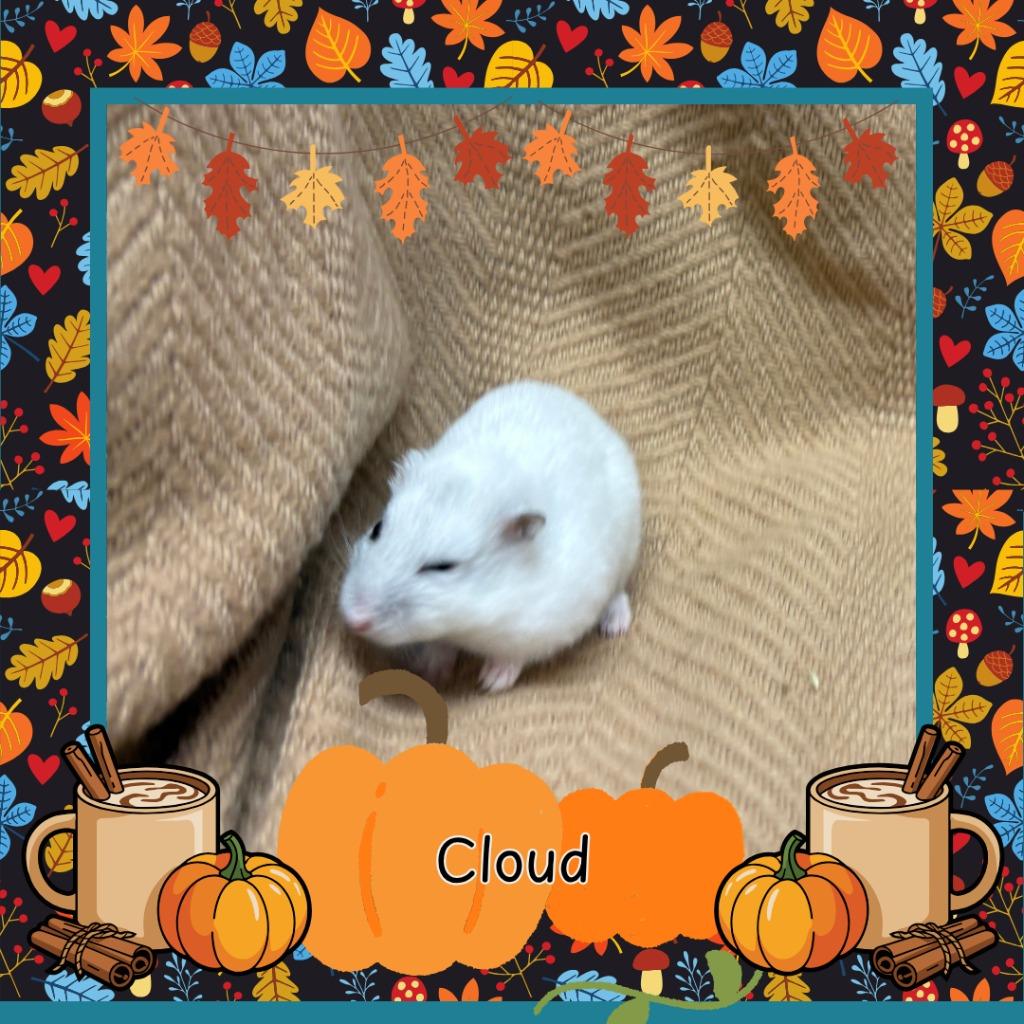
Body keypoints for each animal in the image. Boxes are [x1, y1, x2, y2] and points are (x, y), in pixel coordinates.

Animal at [339, 380, 642, 694]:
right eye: (376, 529)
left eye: (443, 567)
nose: (354, 620)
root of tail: (583, 408)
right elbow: (440, 644)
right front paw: (432, 672)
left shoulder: (547, 625)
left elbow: (515, 655)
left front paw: (490, 682)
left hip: (626, 551)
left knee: (618, 594)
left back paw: (615, 627)